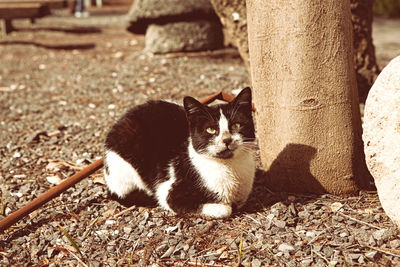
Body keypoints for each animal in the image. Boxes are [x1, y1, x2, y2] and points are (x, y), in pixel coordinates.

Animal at [103, 88, 256, 220]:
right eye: (211, 130)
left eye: (236, 125)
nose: (227, 140)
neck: (229, 166)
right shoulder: (168, 192)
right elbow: (225, 209)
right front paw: (223, 207)